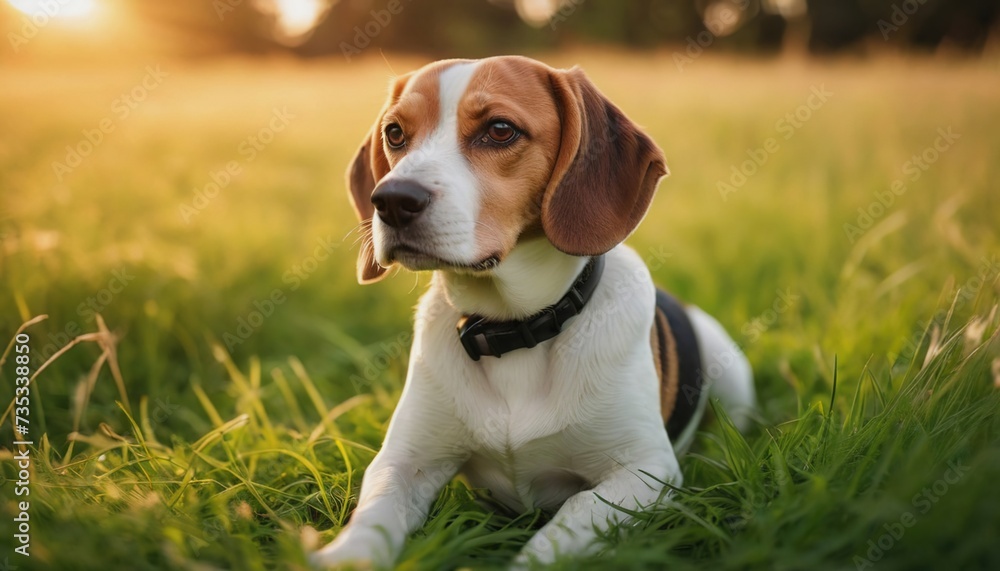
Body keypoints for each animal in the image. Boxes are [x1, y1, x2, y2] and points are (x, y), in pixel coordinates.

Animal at [308, 55, 752, 568]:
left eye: (500, 130)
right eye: (395, 133)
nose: (391, 200)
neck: (513, 331)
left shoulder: (642, 471)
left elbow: (560, 529)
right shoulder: (403, 461)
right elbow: (371, 522)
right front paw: (340, 555)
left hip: (731, 373)